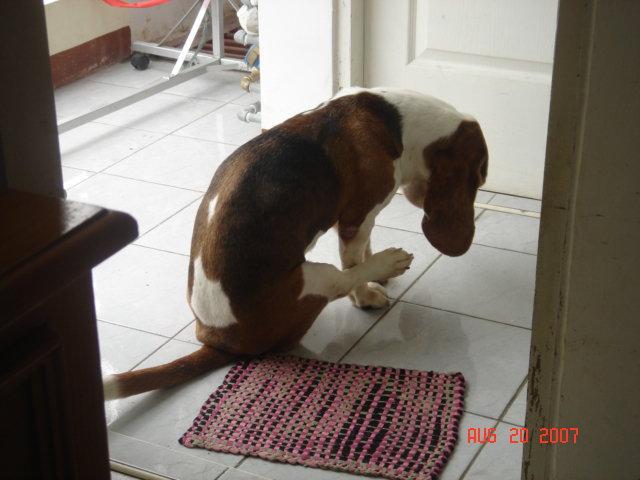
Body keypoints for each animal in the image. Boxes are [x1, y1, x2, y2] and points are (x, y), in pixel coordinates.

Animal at [103, 87, 488, 400]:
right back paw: (389, 261)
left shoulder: (365, 218)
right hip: (314, 277)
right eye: (481, 176)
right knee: (338, 278)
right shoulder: (357, 216)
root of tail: (220, 339)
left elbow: (366, 246)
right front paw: (367, 290)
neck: (398, 120)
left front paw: (376, 273)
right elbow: (354, 262)